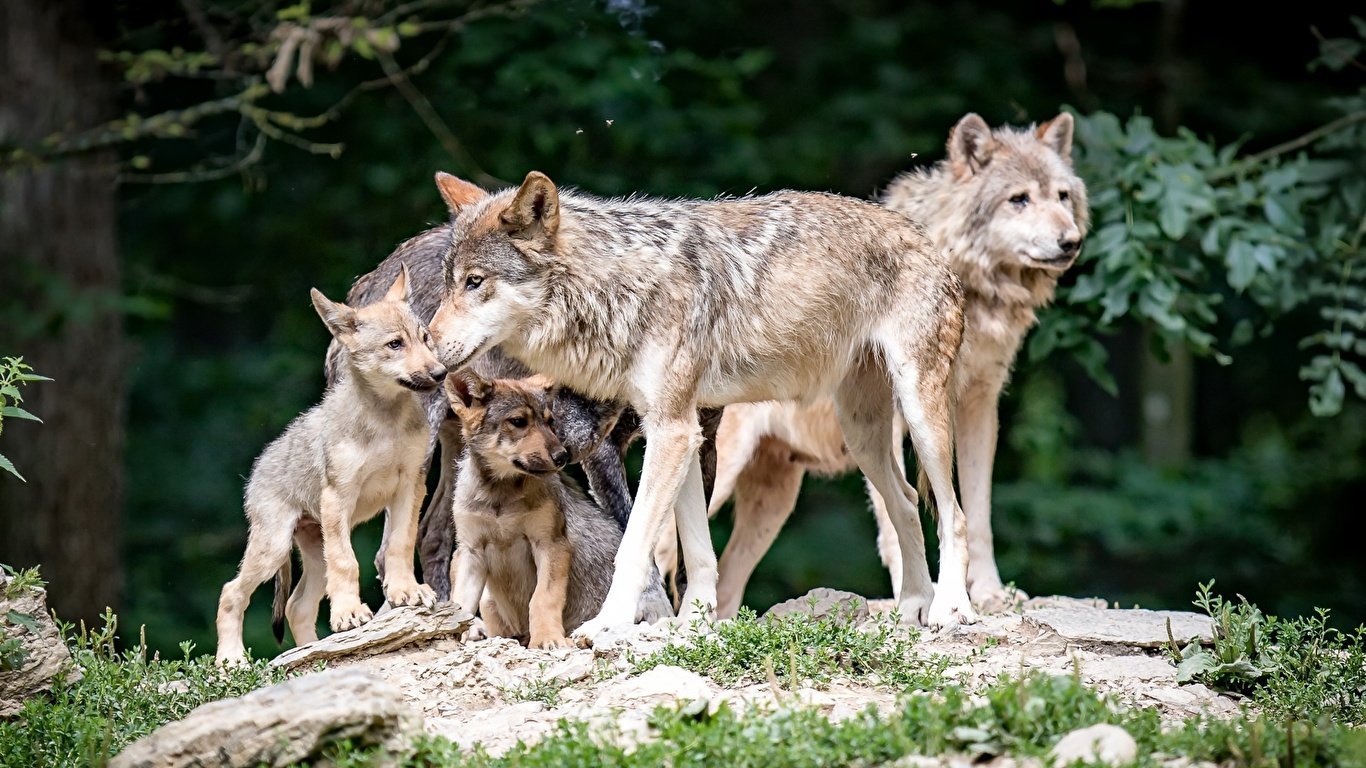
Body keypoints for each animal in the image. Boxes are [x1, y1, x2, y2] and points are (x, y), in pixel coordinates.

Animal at [217, 267, 442, 658]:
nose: (441, 372)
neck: (386, 422)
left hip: (313, 553)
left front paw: (406, 591)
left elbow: (400, 544)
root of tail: (258, 467)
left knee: (296, 606)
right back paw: (231, 661)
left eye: (425, 338)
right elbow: (348, 562)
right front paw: (350, 614)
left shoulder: (410, 486)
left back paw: (312, 652)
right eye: (395, 344)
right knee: (232, 593)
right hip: (275, 547)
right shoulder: (339, 497)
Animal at [445, 368, 674, 642]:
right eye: (518, 422)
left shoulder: (550, 543)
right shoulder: (470, 550)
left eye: (549, 422)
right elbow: (460, 604)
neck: (500, 496)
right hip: (489, 600)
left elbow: (543, 598)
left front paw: (547, 639)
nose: (562, 456)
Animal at [704, 112, 1087, 614]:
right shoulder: (898, 421)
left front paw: (987, 593)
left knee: (727, 580)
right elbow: (897, 519)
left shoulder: (979, 405)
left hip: (775, 498)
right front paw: (916, 597)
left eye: (1062, 196)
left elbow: (977, 512)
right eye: (1018, 199)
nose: (1071, 242)